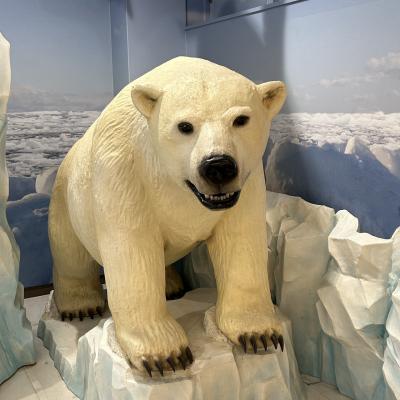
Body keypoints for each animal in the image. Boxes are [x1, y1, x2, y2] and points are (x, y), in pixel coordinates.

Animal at [49, 56, 288, 376]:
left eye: (240, 119)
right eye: (184, 126)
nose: (218, 166)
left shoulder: (246, 183)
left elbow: (240, 243)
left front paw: (259, 334)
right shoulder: (124, 172)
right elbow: (133, 252)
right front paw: (166, 355)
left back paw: (172, 286)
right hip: (67, 196)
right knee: (70, 253)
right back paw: (80, 305)